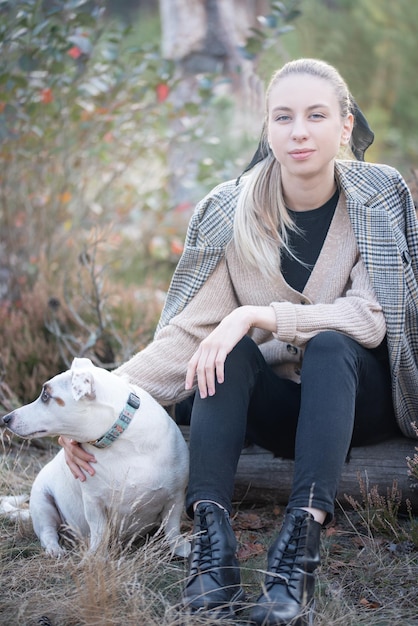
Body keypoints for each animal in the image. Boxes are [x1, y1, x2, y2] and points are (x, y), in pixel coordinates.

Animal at [1, 356, 189, 556]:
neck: (121, 442)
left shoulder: (176, 497)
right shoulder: (94, 503)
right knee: (47, 532)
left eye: (46, 396)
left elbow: (172, 527)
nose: (6, 418)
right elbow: (99, 532)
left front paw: (180, 547)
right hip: (42, 502)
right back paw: (55, 549)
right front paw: (94, 556)